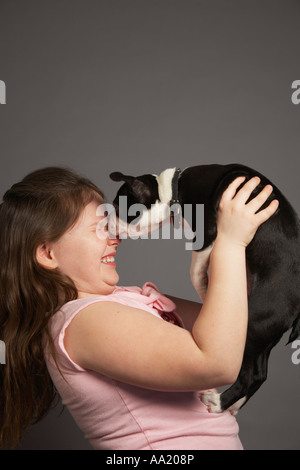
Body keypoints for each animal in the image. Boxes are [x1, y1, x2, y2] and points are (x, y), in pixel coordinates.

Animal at [109, 163, 300, 414]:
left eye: (117, 208)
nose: (105, 223)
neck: (175, 189)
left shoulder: (207, 235)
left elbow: (195, 270)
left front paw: (206, 290)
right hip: (264, 335)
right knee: (261, 373)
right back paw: (233, 405)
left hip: (253, 322)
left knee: (251, 376)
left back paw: (218, 403)